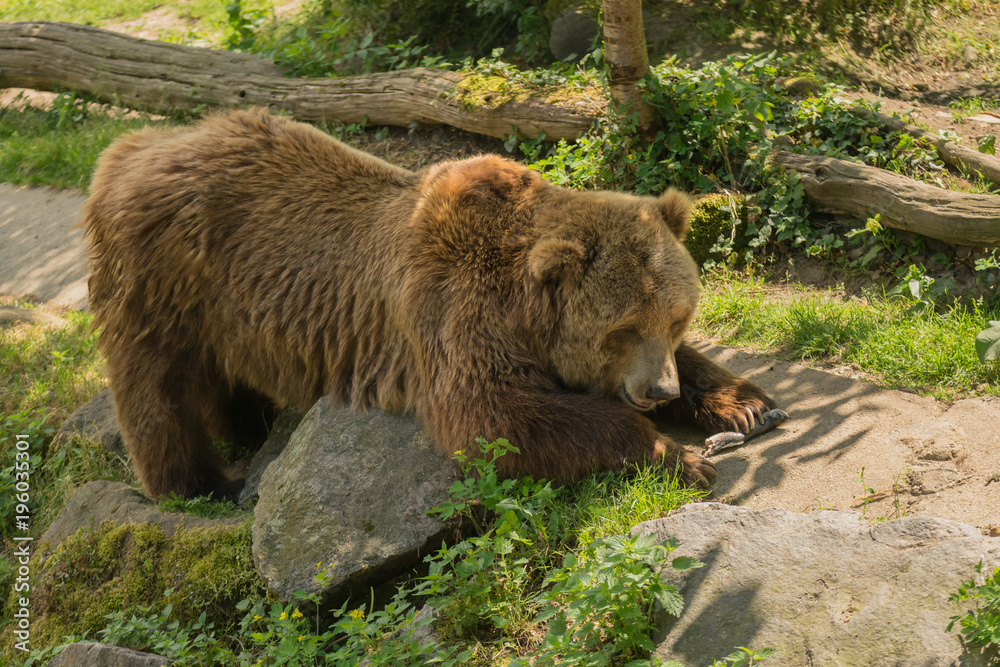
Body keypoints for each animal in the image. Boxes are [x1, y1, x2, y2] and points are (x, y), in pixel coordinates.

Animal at [83, 108, 777, 500]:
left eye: (676, 317)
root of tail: (129, 148)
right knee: (155, 388)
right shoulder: (454, 310)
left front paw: (745, 404)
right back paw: (198, 484)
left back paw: (249, 425)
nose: (657, 392)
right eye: (623, 327)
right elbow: (495, 418)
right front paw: (677, 456)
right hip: (162, 283)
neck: (525, 307)